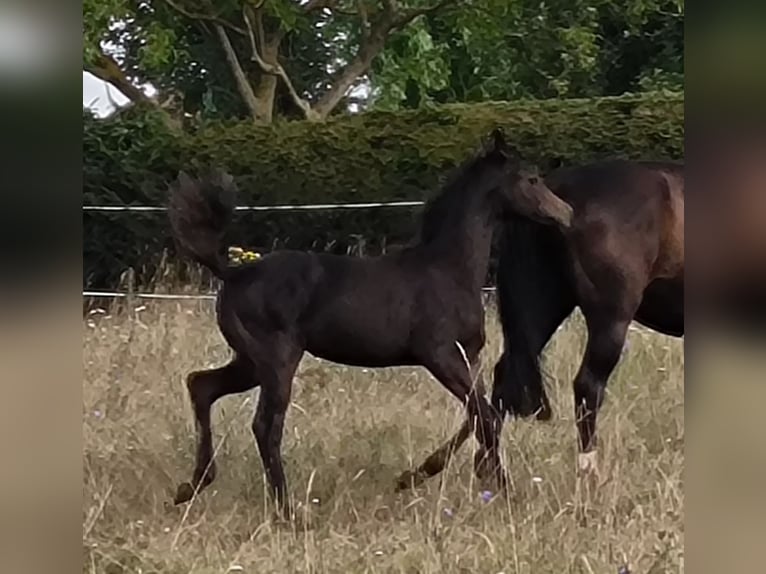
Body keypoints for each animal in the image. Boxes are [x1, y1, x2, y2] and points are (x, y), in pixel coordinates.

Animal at [170, 130, 576, 516]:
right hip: (277, 358)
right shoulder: (439, 355)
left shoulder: (468, 357)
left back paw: (191, 486)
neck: (449, 268)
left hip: (250, 361)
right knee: (265, 426)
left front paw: (421, 475)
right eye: (531, 179)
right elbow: (486, 417)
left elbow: (479, 415)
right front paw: (504, 490)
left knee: (201, 385)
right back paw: (287, 511)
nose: (566, 214)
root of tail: (233, 273)